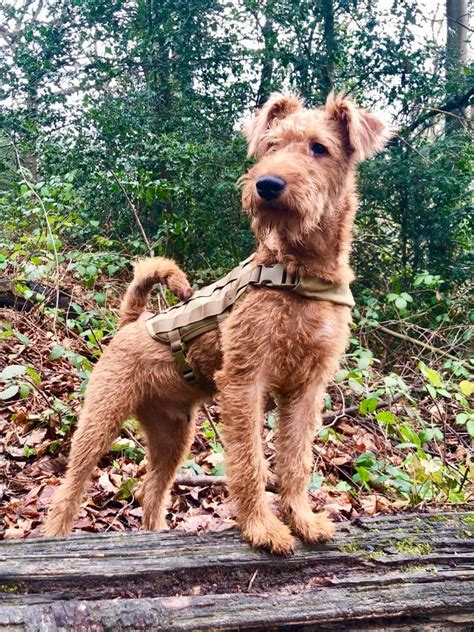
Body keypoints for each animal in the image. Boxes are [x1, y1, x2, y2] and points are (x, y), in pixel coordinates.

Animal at [45, 94, 388, 552]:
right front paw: (261, 527)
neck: (298, 272)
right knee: (69, 488)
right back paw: (53, 539)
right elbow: (249, 462)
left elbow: (296, 461)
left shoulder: (307, 388)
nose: (268, 185)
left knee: (152, 490)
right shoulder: (245, 380)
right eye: (271, 145)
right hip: (100, 417)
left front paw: (302, 519)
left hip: (173, 434)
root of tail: (131, 324)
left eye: (319, 148)